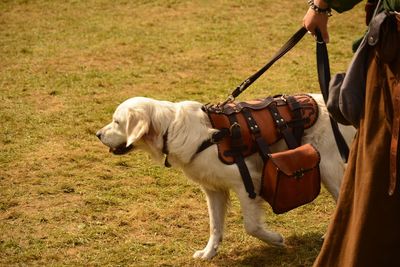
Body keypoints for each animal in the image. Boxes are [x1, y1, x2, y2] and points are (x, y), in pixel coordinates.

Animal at [95, 94, 354, 260]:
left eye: (117, 122)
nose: (97, 134)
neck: (172, 130)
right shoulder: (213, 190)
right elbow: (215, 227)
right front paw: (209, 253)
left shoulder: (248, 181)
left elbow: (251, 226)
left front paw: (275, 239)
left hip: (328, 169)